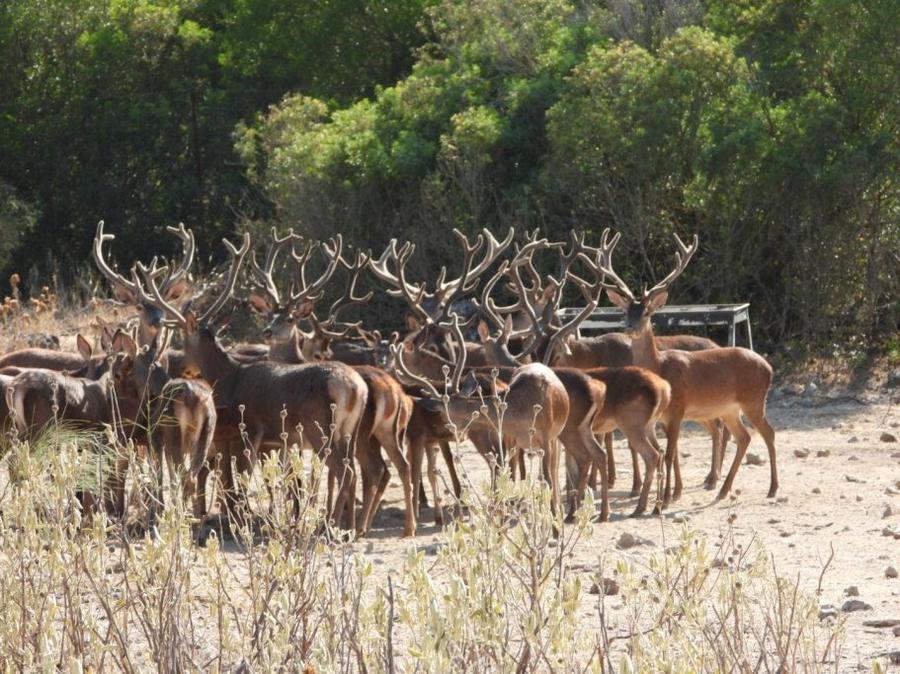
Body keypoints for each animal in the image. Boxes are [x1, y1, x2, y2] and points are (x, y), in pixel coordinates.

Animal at [128, 229, 370, 532]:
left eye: (182, 338)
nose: (176, 364)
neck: (230, 378)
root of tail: (355, 388)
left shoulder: (250, 429)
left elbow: (240, 482)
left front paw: (243, 520)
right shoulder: (269, 440)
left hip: (319, 426)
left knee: (344, 470)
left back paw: (328, 526)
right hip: (351, 430)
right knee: (352, 471)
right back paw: (351, 528)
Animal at [597, 232, 778, 506]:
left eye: (646, 312)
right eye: (626, 310)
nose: (629, 326)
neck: (660, 367)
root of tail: (769, 368)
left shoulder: (678, 408)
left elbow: (671, 454)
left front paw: (666, 498)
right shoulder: (664, 417)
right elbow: (670, 453)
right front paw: (671, 493)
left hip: (754, 400)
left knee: (768, 433)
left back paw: (772, 488)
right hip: (729, 408)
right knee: (744, 437)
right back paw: (723, 489)